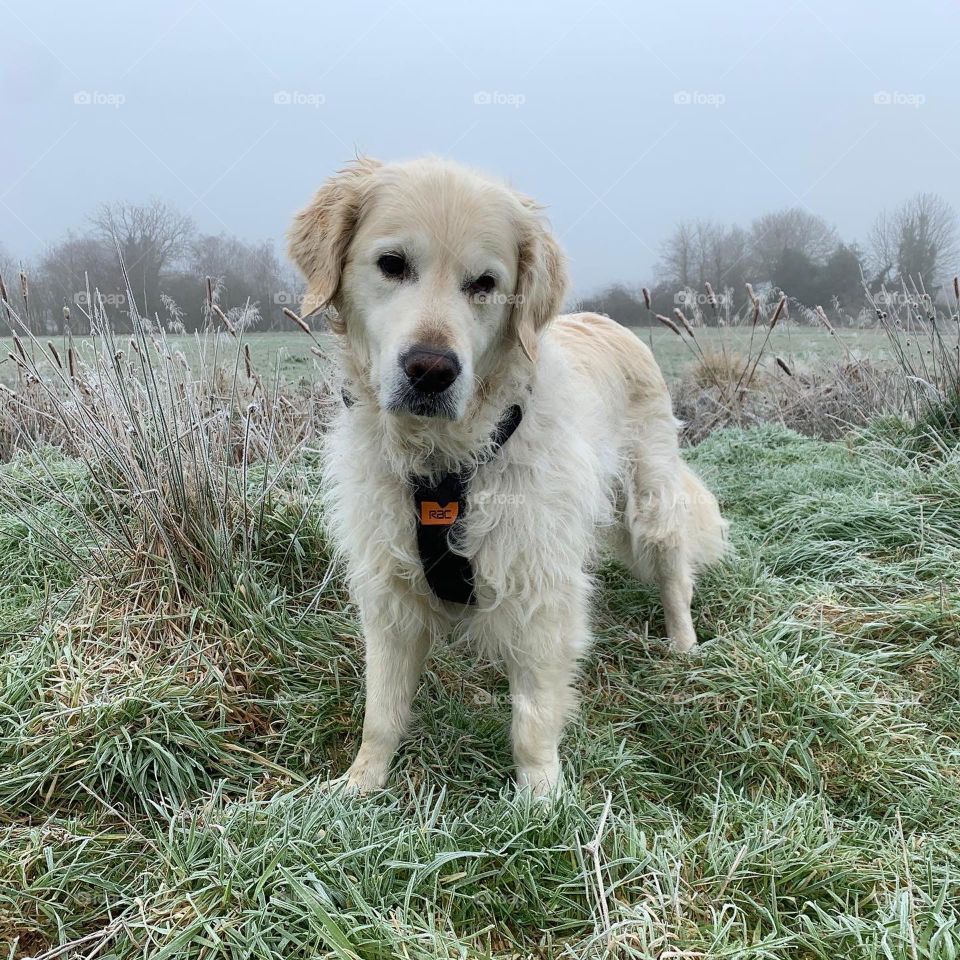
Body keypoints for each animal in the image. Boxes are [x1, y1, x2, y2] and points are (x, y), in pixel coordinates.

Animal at [284, 158, 728, 796]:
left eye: (485, 283)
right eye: (392, 264)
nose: (431, 370)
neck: (444, 464)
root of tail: (609, 319)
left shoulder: (540, 589)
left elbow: (533, 716)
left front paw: (542, 797)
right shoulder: (388, 594)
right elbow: (382, 710)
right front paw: (361, 784)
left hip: (651, 500)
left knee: (675, 576)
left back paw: (684, 647)